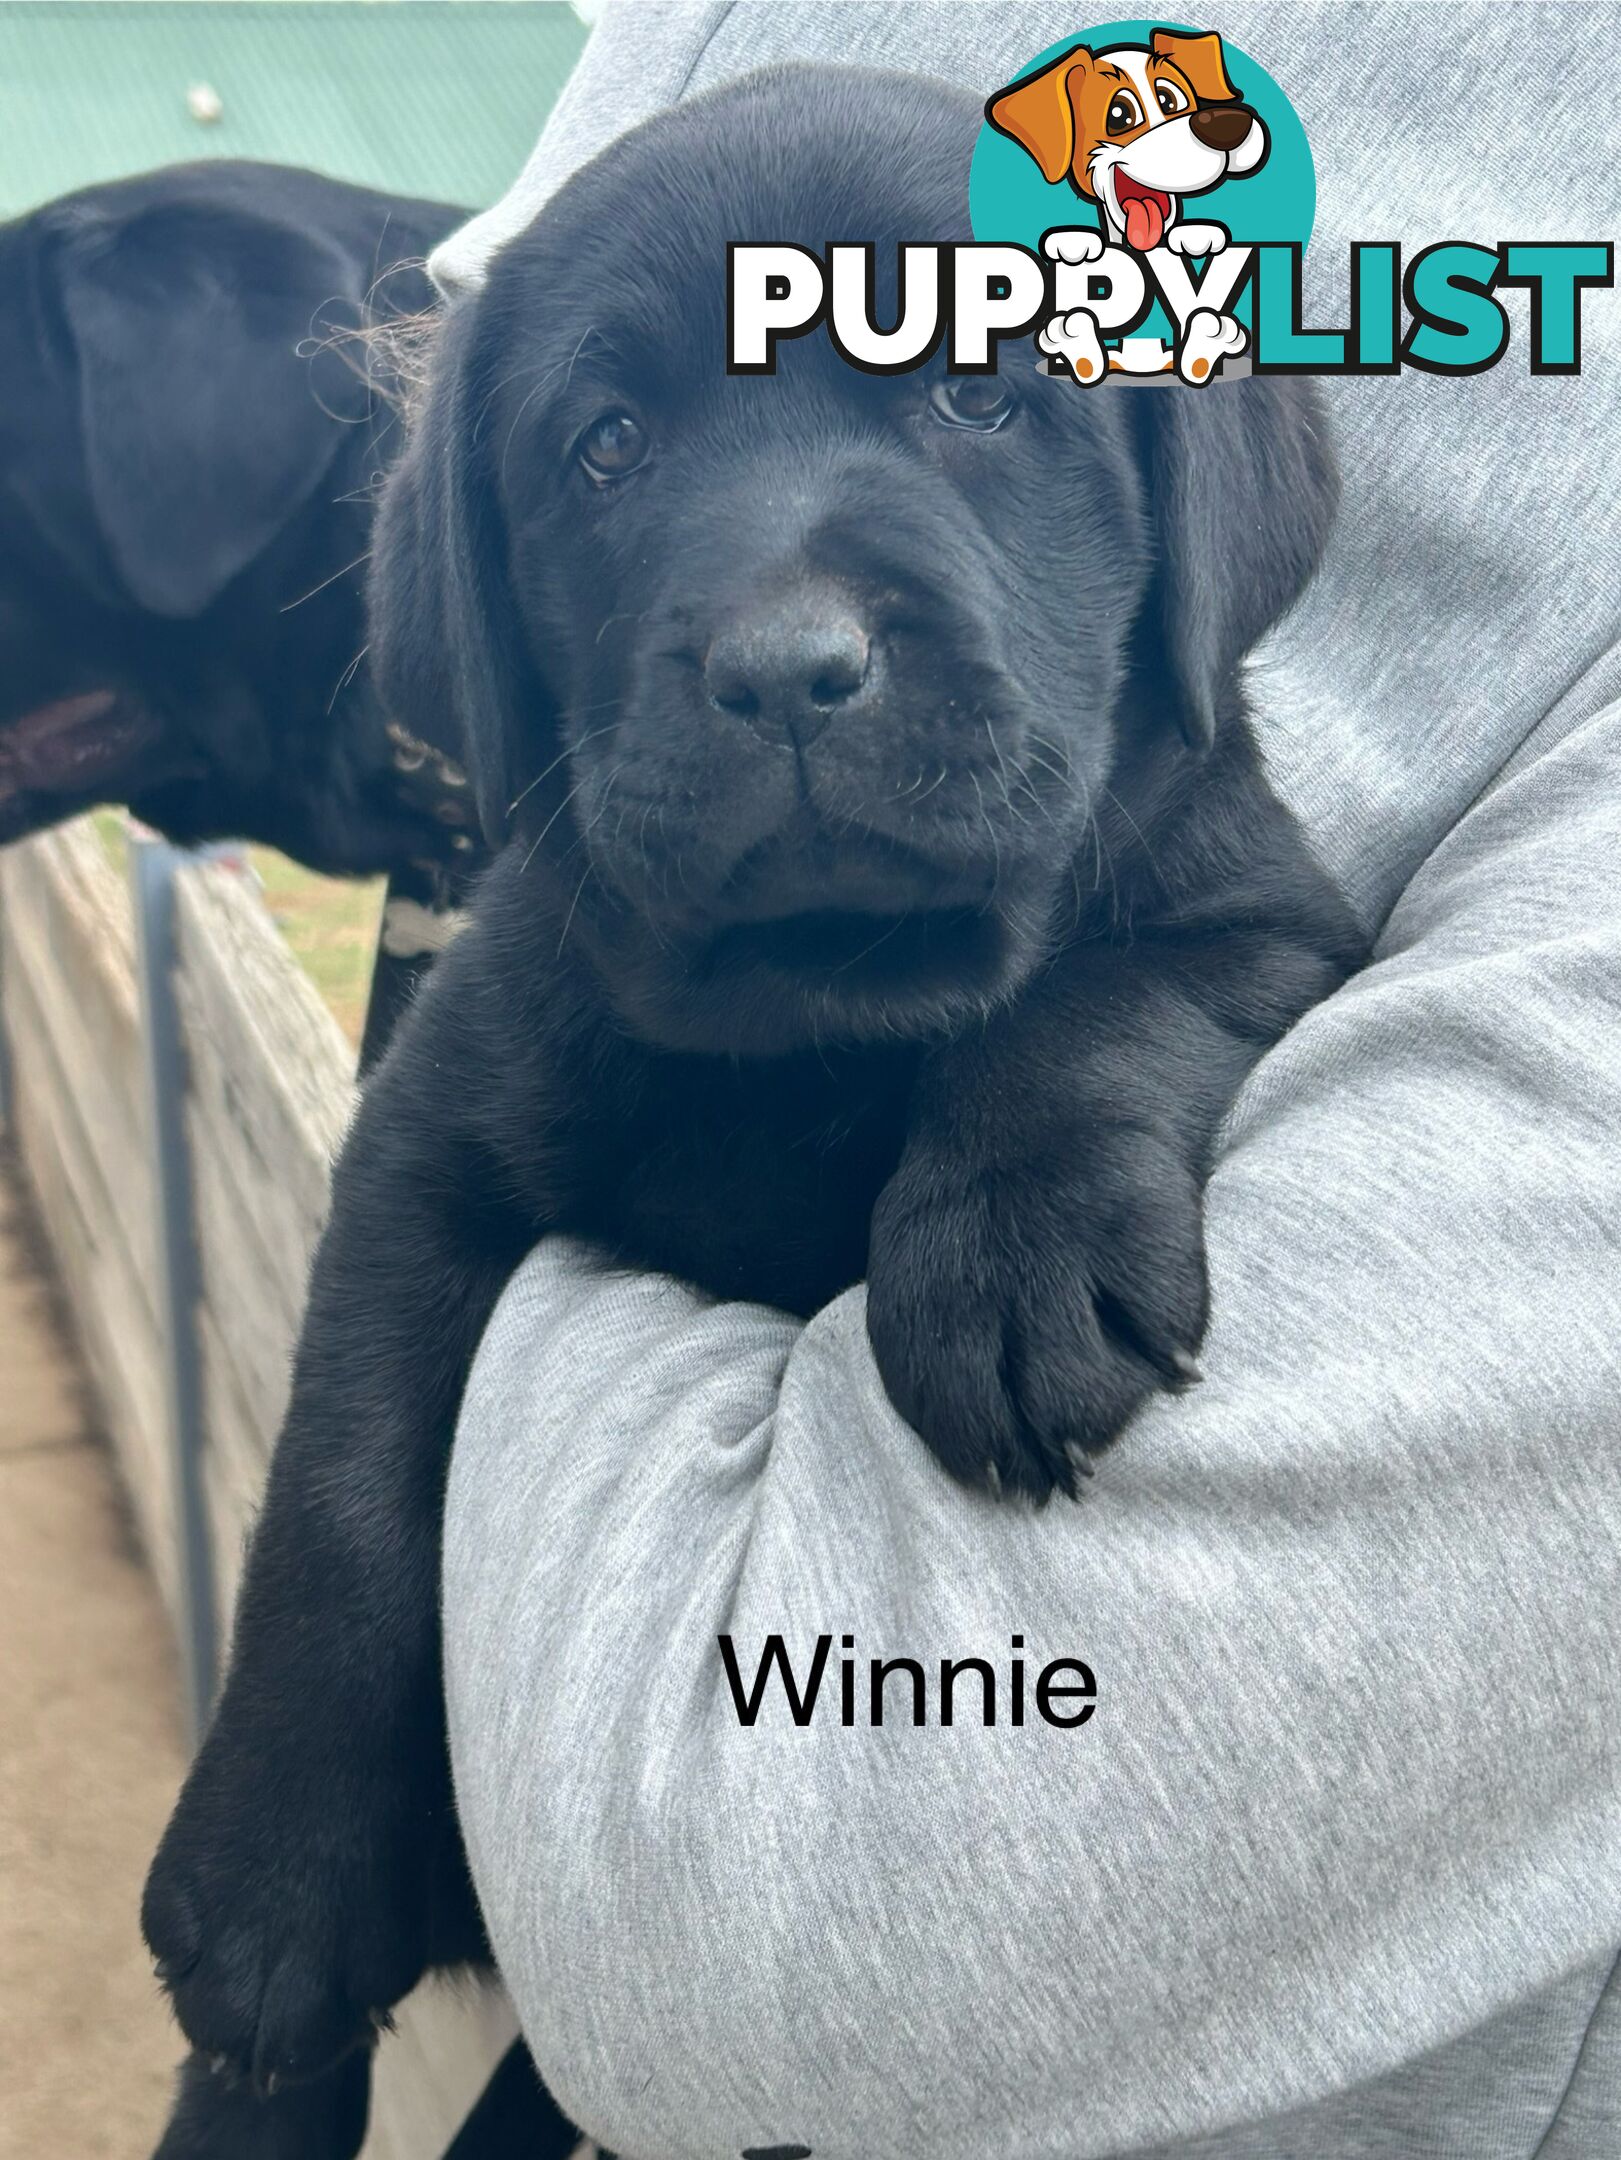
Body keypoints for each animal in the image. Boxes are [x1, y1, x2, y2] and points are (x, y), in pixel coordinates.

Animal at [142, 63, 1374, 2160]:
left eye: (978, 395)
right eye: (607, 447)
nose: (788, 672)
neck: (822, 1011)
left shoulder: (1271, 915)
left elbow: (1093, 994)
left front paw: (1009, 1259)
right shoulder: (426, 1131)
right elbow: (343, 1485)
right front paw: (265, 1883)